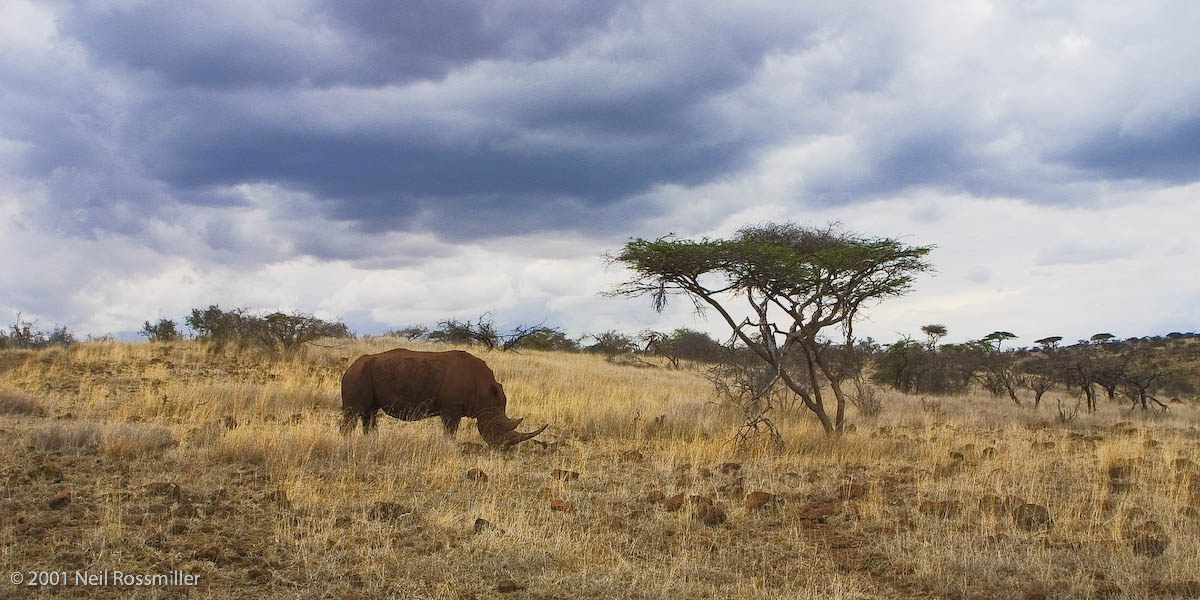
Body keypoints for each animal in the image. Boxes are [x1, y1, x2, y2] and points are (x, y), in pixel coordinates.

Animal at [340, 348, 548, 447]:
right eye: (497, 426)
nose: (503, 448)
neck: (485, 392)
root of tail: (349, 367)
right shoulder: (451, 407)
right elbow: (450, 431)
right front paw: (450, 446)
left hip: (367, 375)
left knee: (370, 413)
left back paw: (370, 442)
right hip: (358, 375)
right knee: (353, 413)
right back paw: (347, 443)